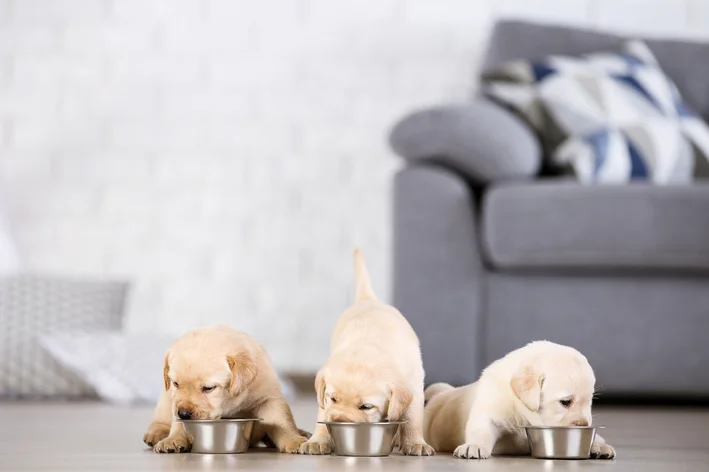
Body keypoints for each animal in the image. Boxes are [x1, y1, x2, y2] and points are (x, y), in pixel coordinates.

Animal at [143, 324, 306, 454]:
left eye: (208, 388)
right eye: (176, 384)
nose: (183, 413)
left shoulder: (269, 397)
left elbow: (282, 421)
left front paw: (294, 439)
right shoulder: (175, 401)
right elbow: (178, 424)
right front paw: (173, 439)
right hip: (165, 400)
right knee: (160, 419)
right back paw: (156, 434)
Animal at [298, 249, 432, 456]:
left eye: (366, 407)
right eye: (333, 398)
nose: (339, 421)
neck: (369, 349)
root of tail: (368, 299)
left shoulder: (415, 387)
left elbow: (412, 418)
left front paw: (416, 443)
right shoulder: (324, 399)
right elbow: (322, 413)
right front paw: (319, 440)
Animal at [424, 342, 616, 460]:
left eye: (590, 402)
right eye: (566, 402)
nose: (584, 425)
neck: (523, 411)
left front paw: (597, 444)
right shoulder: (490, 410)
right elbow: (481, 429)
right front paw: (474, 445)